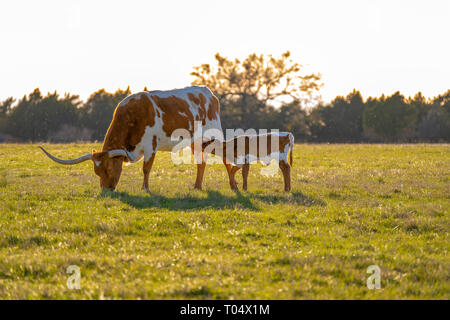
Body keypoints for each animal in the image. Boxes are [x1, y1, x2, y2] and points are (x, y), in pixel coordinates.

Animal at [40, 85, 236, 190]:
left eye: (109, 168)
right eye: (97, 171)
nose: (106, 190)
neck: (133, 115)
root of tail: (207, 92)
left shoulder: (151, 146)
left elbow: (146, 169)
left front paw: (145, 188)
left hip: (213, 136)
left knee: (225, 157)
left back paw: (233, 185)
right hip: (196, 142)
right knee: (201, 163)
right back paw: (197, 186)